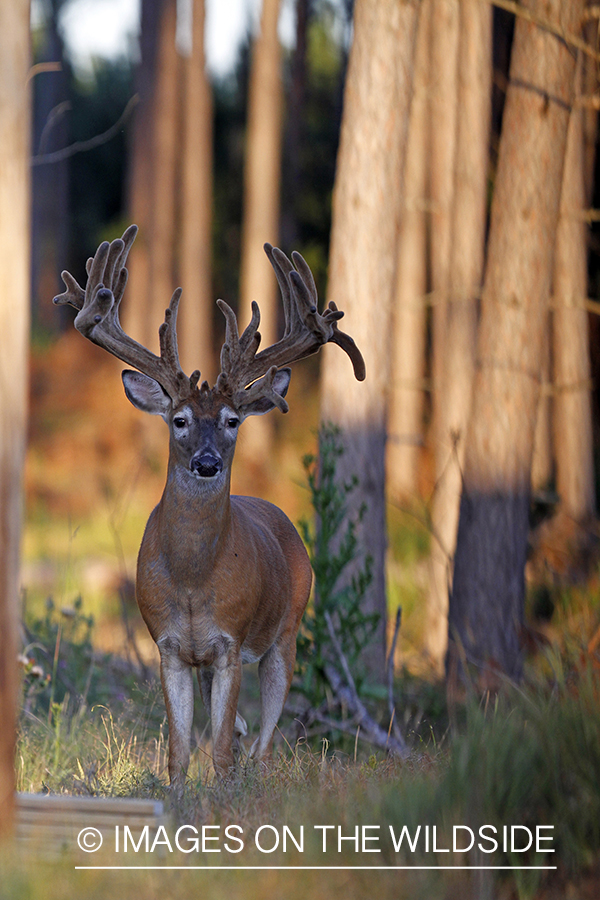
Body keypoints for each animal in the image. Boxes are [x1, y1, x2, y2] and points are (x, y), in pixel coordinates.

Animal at [55, 227, 366, 796]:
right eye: (179, 419)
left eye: (231, 420)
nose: (206, 463)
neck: (193, 580)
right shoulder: (170, 646)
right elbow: (179, 751)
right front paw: (177, 799)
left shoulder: (231, 643)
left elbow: (220, 749)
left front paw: (223, 799)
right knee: (245, 735)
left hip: (286, 631)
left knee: (266, 741)